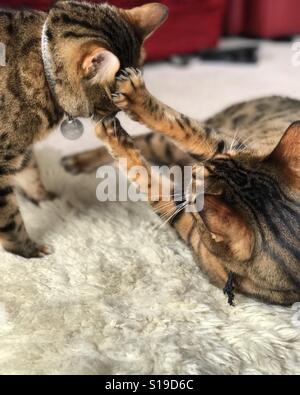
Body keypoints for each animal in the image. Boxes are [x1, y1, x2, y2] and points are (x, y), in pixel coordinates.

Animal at [0, 0, 168, 258]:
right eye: (113, 103)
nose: (114, 119)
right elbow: (10, 220)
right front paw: (28, 251)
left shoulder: (21, 147)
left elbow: (31, 173)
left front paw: (46, 200)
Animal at [63, 69, 300, 306]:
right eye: (203, 170)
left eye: (196, 183)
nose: (193, 168)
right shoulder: (229, 146)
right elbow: (188, 129)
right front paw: (134, 99)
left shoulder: (182, 216)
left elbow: (146, 178)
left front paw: (112, 137)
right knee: (155, 137)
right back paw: (77, 158)